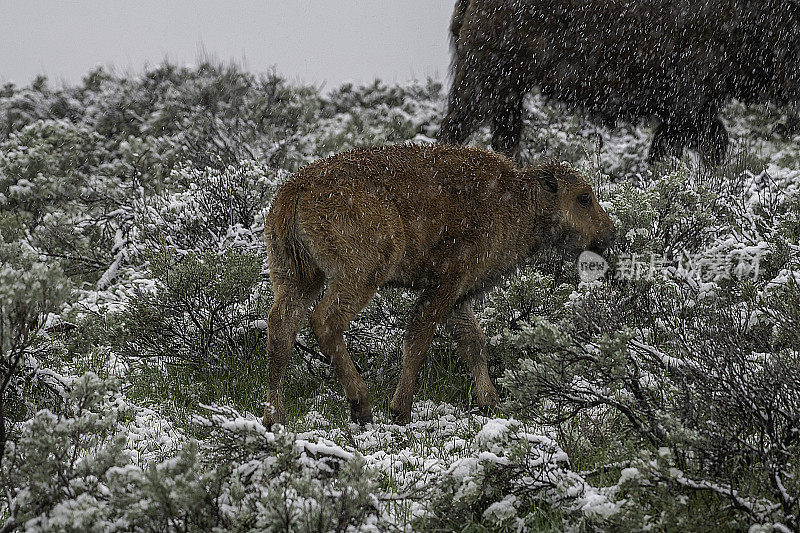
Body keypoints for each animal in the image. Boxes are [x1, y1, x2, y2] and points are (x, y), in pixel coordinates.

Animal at [262, 143, 612, 426]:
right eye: (584, 198)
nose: (608, 234)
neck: (515, 198)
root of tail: (296, 188)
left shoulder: (460, 296)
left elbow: (474, 343)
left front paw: (491, 403)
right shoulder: (446, 284)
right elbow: (419, 339)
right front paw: (400, 410)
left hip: (296, 275)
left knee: (281, 325)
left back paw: (274, 416)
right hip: (361, 274)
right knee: (325, 320)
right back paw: (361, 404)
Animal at [438, 0, 800, 164]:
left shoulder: (691, 109)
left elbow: (705, 143)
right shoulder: (690, 101)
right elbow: (688, 145)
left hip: (510, 92)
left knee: (504, 137)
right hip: (488, 81)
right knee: (455, 128)